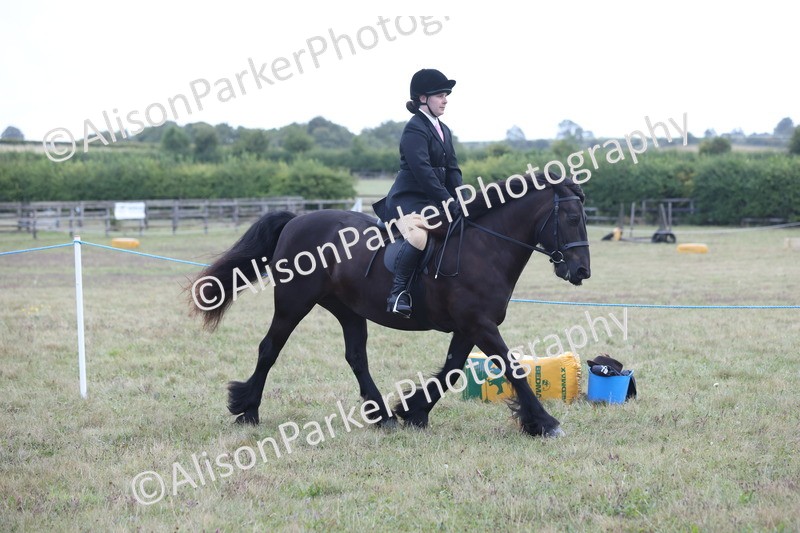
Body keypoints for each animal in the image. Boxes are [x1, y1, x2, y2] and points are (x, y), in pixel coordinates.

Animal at [190, 173, 591, 438]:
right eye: (572, 219)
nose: (581, 271)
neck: (484, 247)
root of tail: (296, 221)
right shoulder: (479, 324)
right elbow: (512, 368)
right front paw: (544, 423)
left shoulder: (470, 327)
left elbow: (451, 370)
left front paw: (413, 412)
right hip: (293, 303)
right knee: (269, 348)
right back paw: (247, 410)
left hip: (348, 310)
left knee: (355, 357)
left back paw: (381, 414)